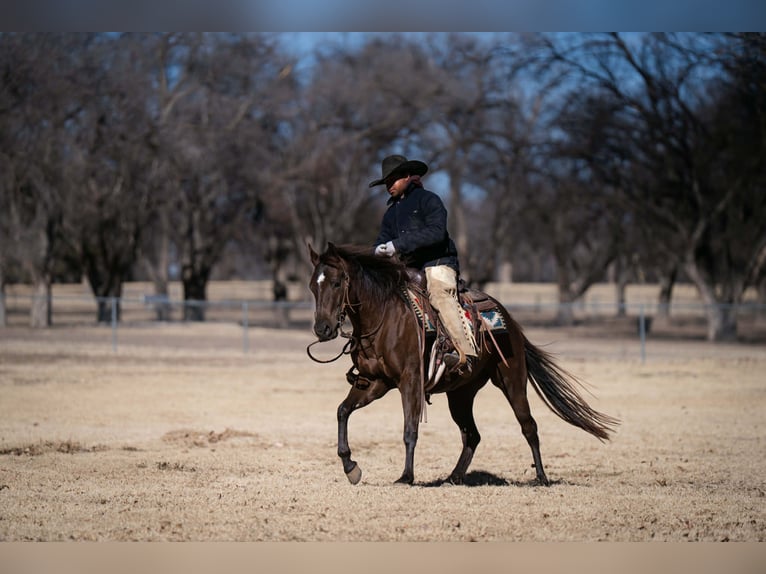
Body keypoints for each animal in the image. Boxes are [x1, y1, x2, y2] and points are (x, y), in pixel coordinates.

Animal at [307, 243, 619, 486]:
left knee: (529, 426)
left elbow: (410, 429)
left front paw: (406, 476)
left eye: (336, 283)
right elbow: (342, 411)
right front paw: (351, 467)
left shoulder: (410, 380)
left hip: (512, 380)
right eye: (313, 286)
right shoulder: (374, 382)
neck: (383, 317)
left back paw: (541, 477)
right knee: (472, 435)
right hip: (461, 394)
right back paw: (453, 477)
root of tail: (511, 322)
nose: (322, 328)